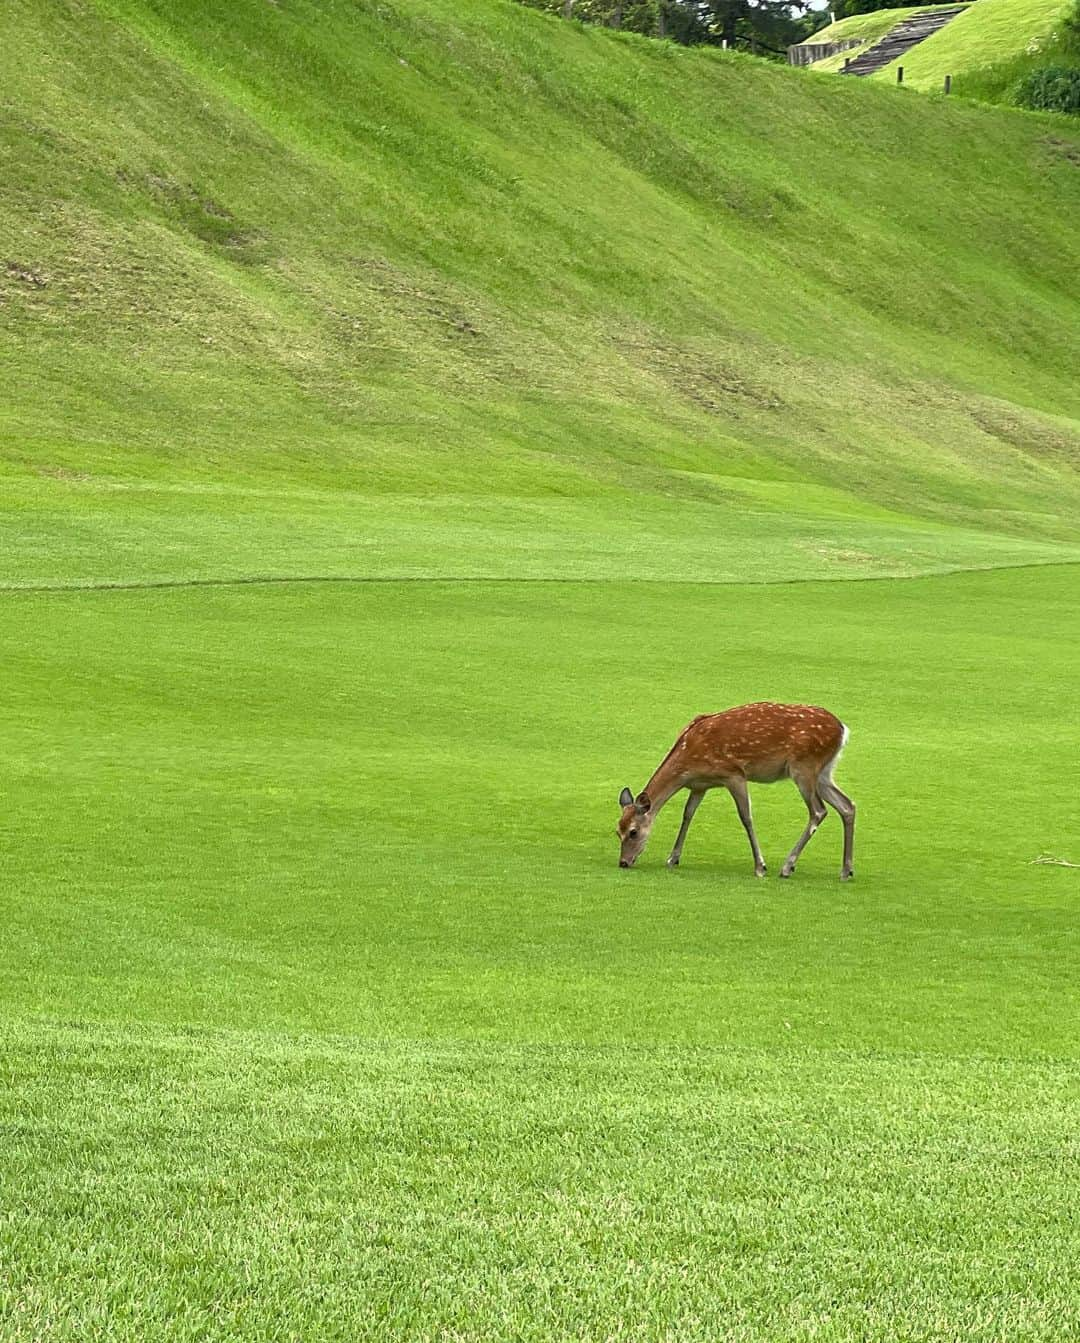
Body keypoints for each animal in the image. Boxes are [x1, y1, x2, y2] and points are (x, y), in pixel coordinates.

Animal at [620, 703, 854, 881]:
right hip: (824, 772)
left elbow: (746, 817)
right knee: (847, 805)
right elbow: (688, 814)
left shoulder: (734, 774)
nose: (623, 862)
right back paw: (846, 870)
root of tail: (843, 730)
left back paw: (787, 867)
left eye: (633, 832)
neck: (687, 761)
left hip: (804, 766)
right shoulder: (700, 785)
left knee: (818, 811)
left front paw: (760, 867)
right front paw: (673, 858)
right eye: (617, 831)